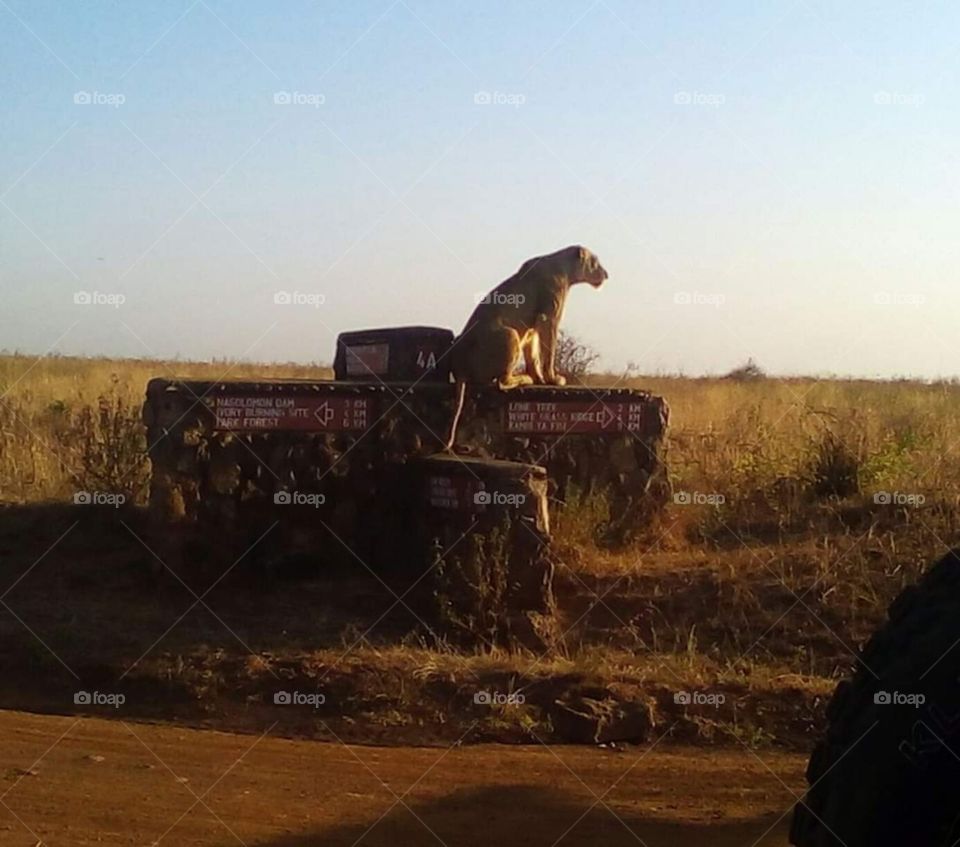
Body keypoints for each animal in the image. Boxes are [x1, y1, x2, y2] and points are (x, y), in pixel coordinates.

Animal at [445, 245, 608, 449]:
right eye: (595, 262)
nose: (606, 275)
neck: (565, 268)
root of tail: (459, 368)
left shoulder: (531, 329)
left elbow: (533, 356)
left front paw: (539, 378)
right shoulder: (548, 318)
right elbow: (549, 351)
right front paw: (552, 379)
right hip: (510, 334)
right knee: (502, 382)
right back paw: (524, 378)